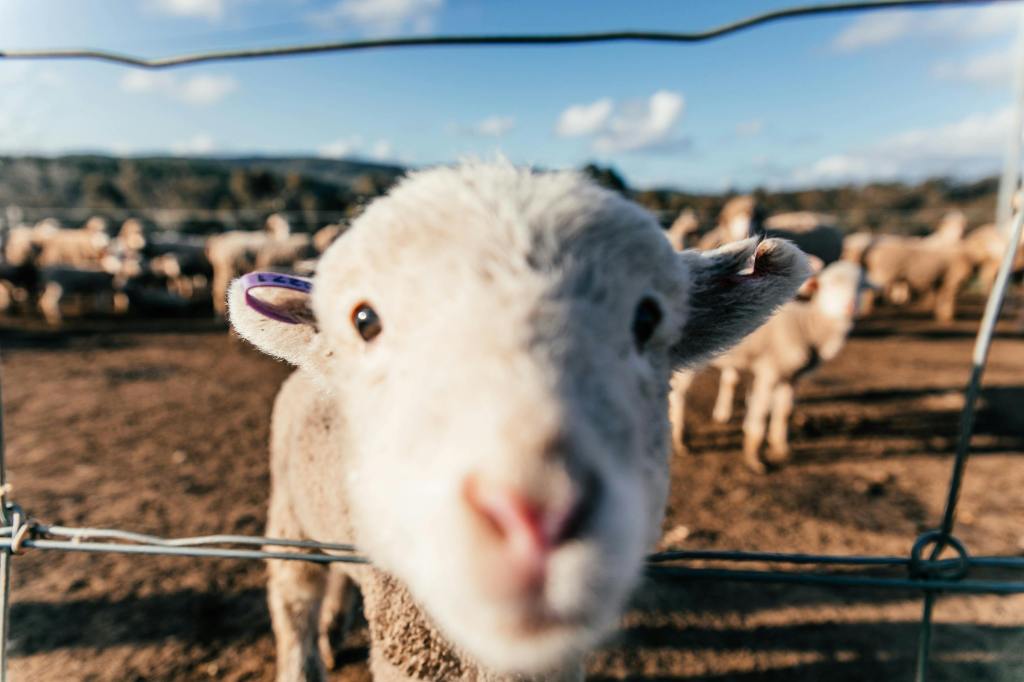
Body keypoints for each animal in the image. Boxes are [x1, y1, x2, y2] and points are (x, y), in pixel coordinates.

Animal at [669, 261, 865, 473]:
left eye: (861, 286)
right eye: (829, 285)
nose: (850, 307)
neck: (807, 325)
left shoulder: (791, 376)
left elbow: (785, 412)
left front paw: (781, 449)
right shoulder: (769, 370)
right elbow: (762, 414)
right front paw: (755, 459)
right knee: (679, 395)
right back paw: (679, 440)